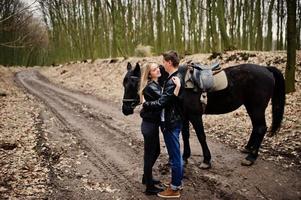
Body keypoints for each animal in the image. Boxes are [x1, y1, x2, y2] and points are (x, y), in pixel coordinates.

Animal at [121, 62, 284, 166]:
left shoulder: (195, 115)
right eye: (124, 84)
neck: (180, 82)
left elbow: (201, 136)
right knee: (256, 127)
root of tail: (266, 69)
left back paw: (251, 157)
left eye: (133, 84)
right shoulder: (184, 115)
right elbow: (185, 135)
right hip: (251, 107)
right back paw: (248, 148)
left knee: (261, 128)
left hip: (256, 107)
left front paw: (206, 160)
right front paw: (185, 157)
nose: (125, 109)